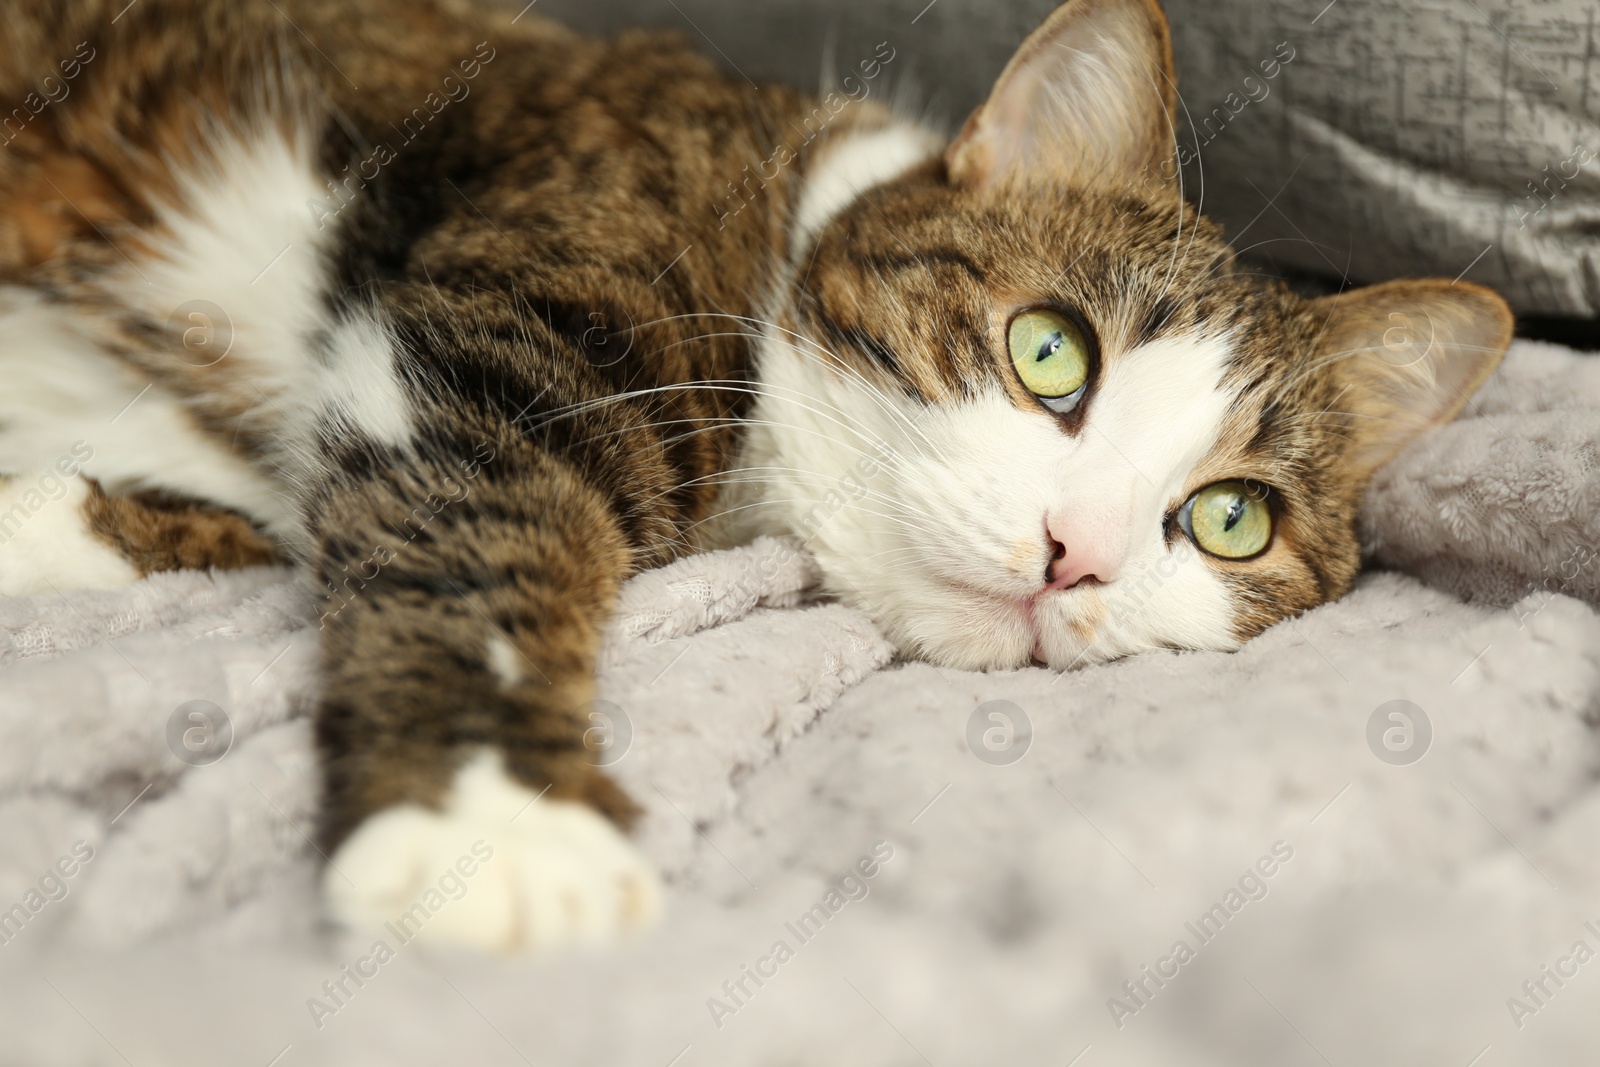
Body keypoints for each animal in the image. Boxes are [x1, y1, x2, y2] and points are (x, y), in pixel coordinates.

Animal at [0, 0, 1504, 953]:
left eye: (1231, 519)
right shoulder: (515, 320)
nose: (1076, 548)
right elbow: (483, 521)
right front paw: (494, 818)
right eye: (1048, 348)